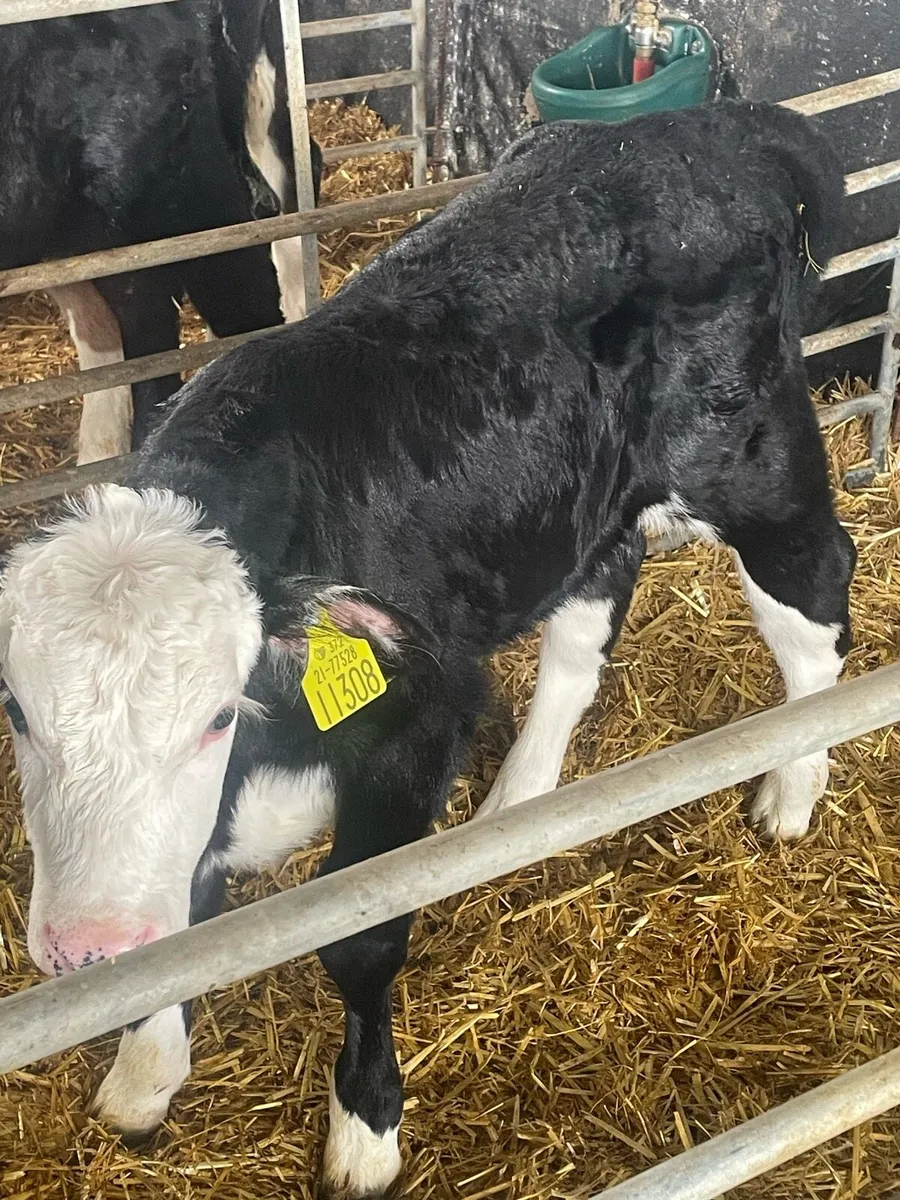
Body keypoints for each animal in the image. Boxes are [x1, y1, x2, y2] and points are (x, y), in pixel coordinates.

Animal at [0, 101, 853, 1197]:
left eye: (218, 714)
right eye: (17, 710)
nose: (85, 949)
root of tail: (715, 122)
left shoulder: (422, 721)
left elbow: (358, 943)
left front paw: (365, 1128)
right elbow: (184, 921)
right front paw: (146, 1070)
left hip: (753, 464)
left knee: (814, 605)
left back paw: (791, 788)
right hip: (577, 505)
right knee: (585, 623)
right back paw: (519, 802)